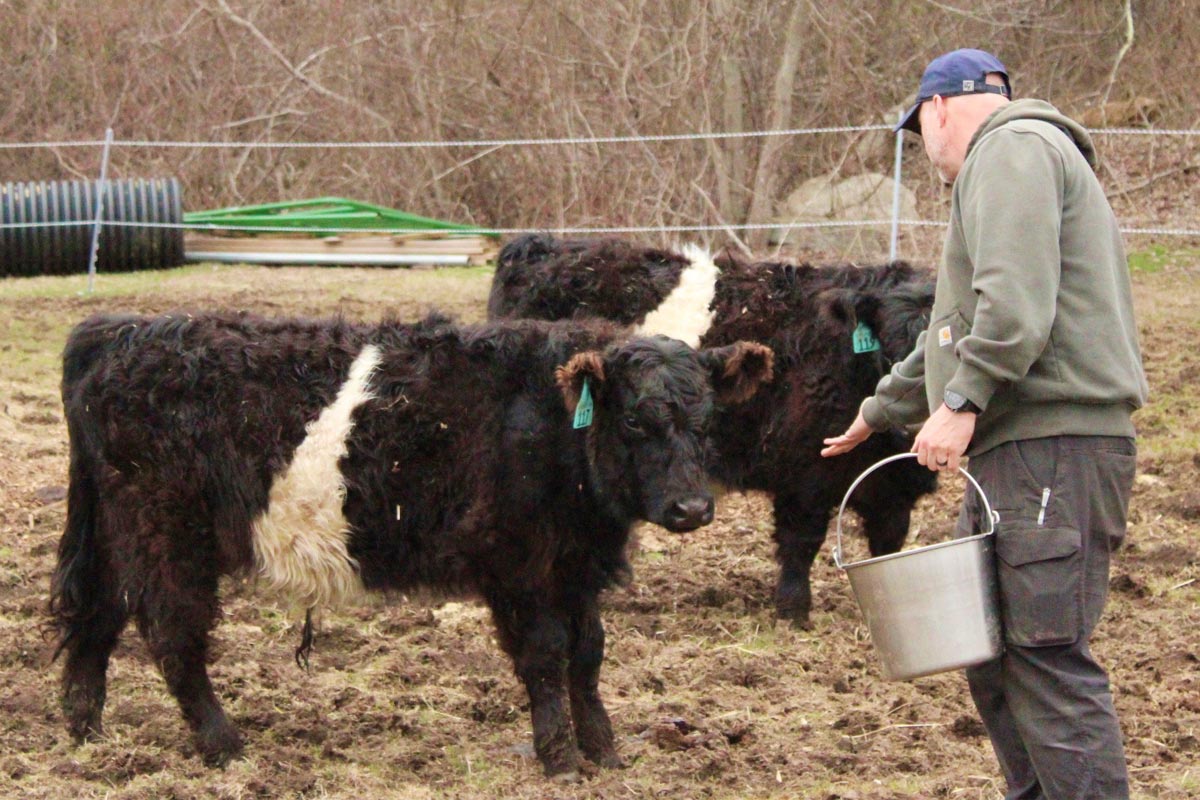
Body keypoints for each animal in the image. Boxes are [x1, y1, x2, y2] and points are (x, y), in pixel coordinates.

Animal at [50, 310, 773, 778]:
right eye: (635, 421)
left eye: (707, 420)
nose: (691, 508)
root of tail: (123, 331)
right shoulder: (519, 563)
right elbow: (546, 657)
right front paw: (562, 760)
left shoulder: (574, 567)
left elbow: (588, 656)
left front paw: (605, 752)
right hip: (167, 534)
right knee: (172, 635)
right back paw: (226, 745)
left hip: (118, 534)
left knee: (97, 618)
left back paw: (87, 736)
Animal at [489, 234, 938, 627]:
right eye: (890, 349)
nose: (914, 423)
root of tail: (538, 244)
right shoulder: (805, 475)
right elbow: (801, 543)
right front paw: (793, 612)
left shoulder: (894, 488)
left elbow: (888, 544)